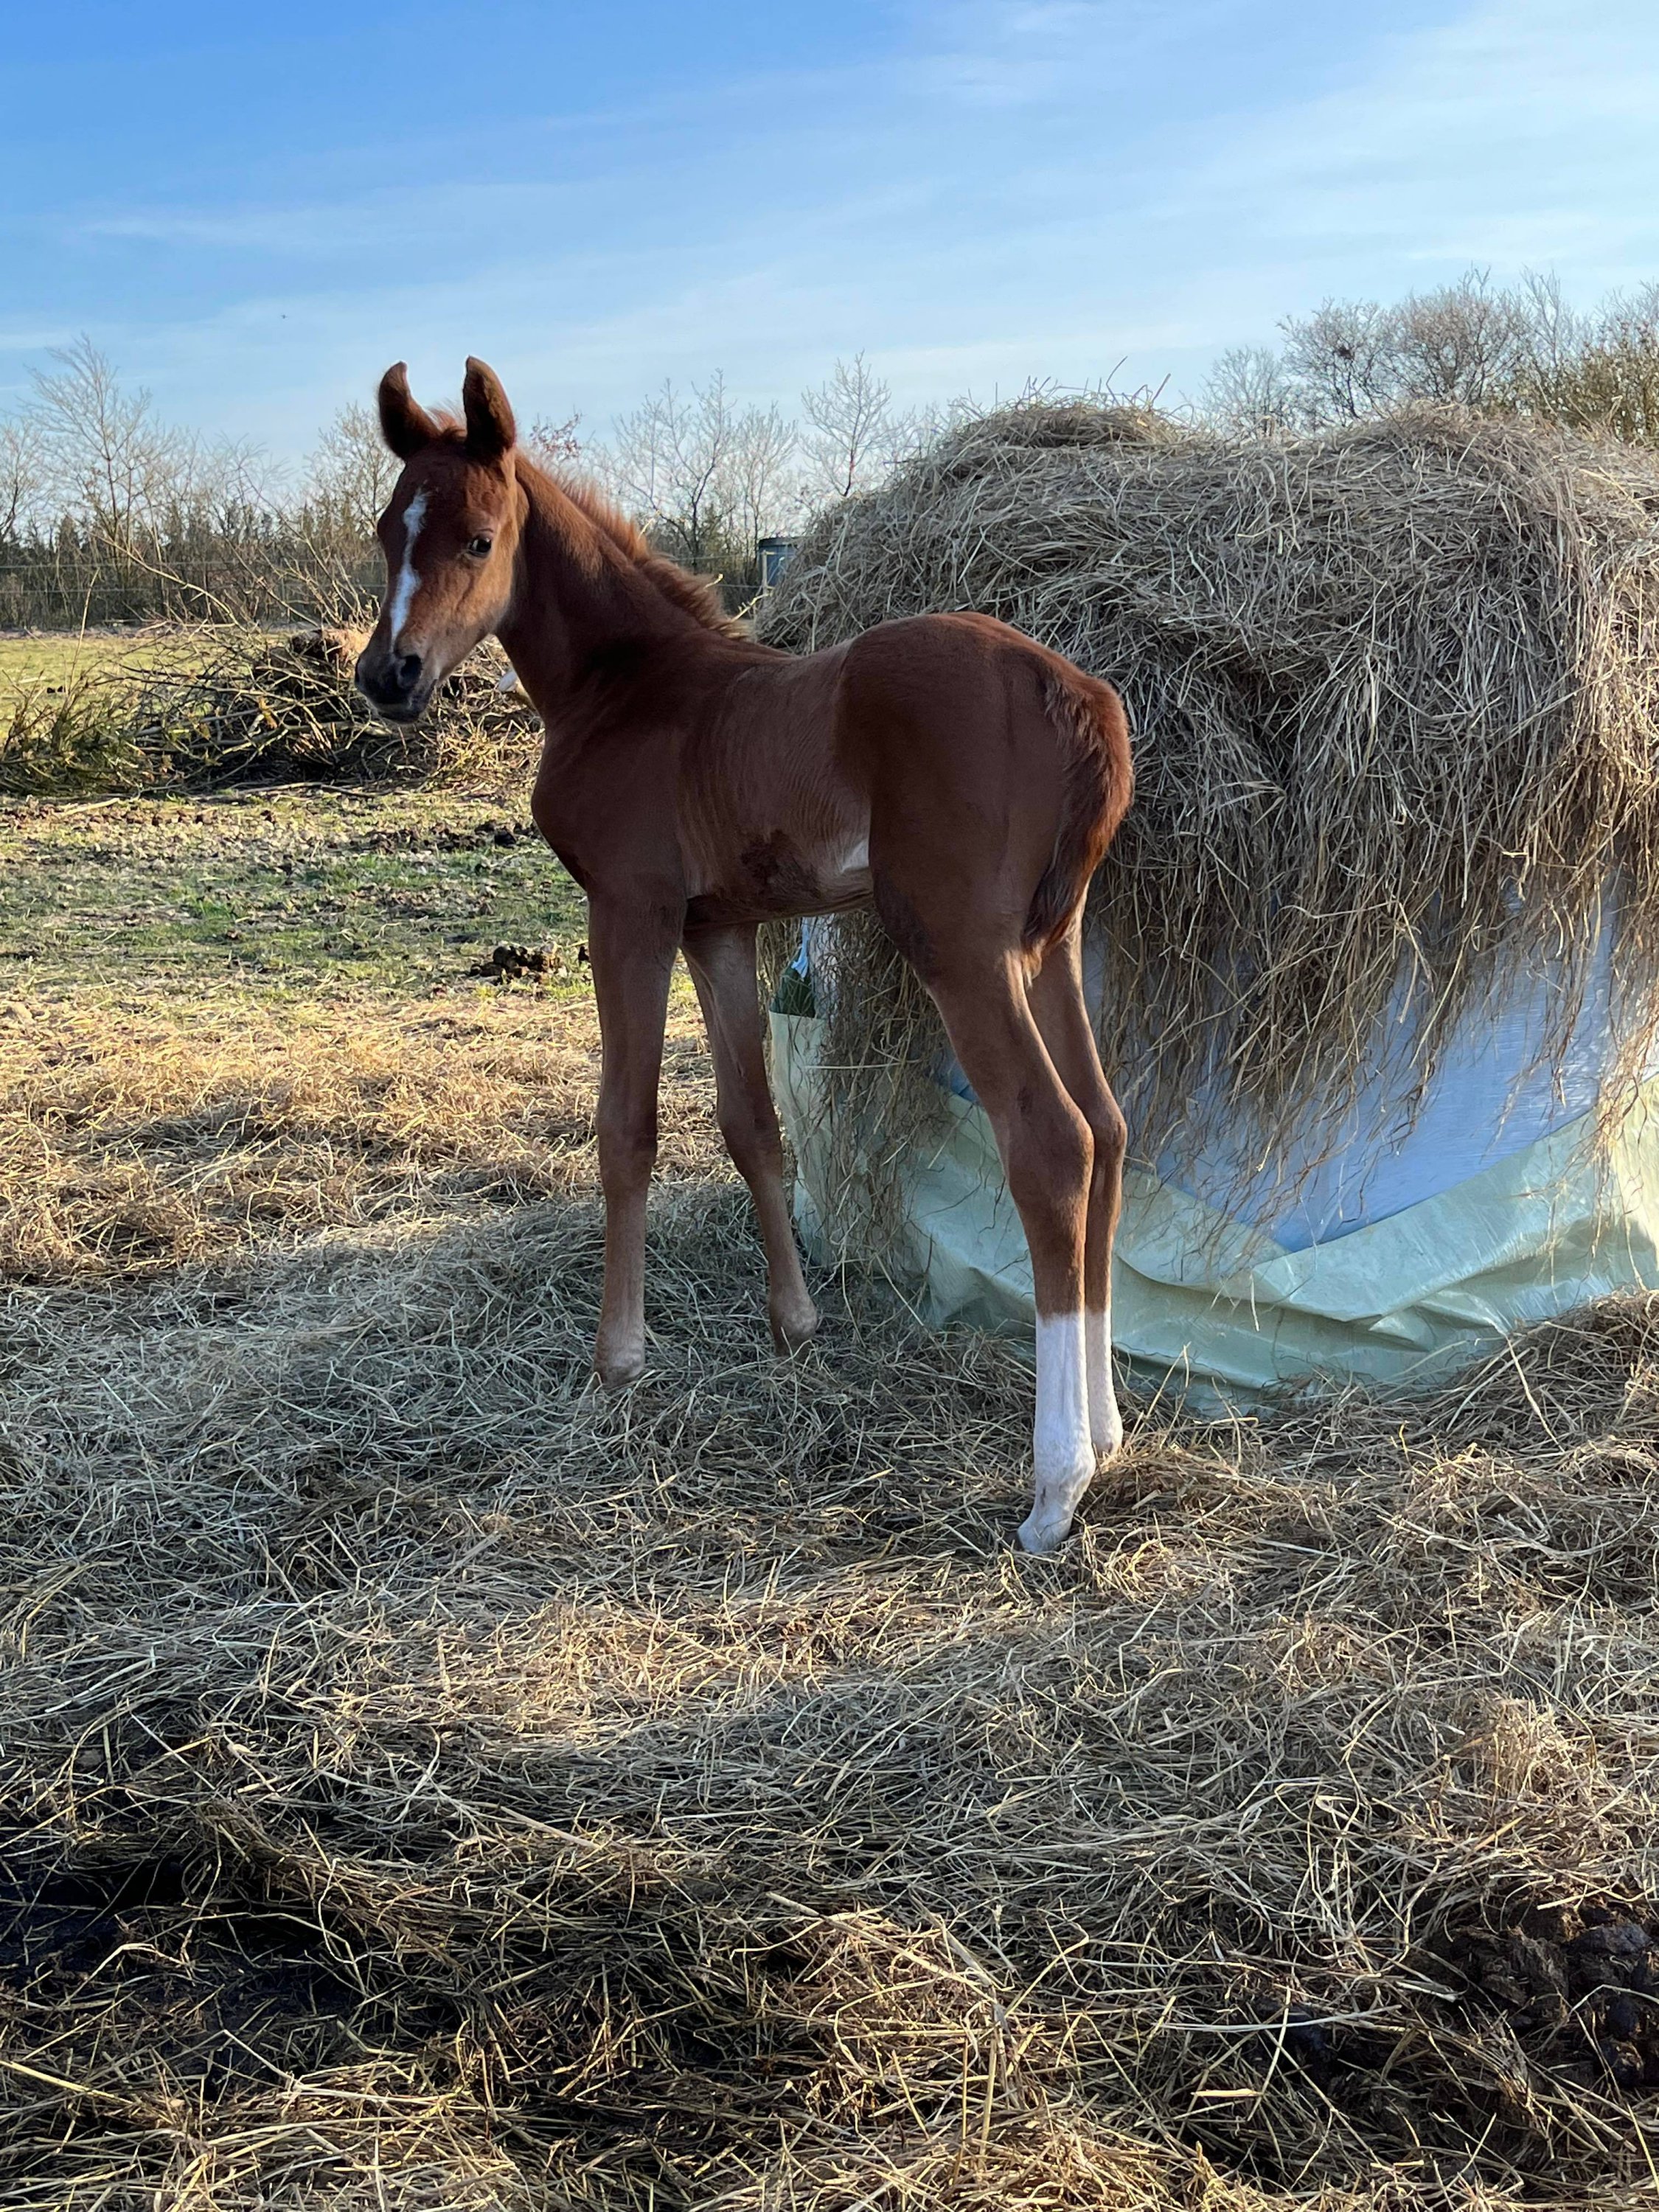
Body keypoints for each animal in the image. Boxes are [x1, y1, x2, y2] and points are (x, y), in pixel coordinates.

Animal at [355, 358, 1133, 1553]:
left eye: (479, 540)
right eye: (386, 531)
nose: (387, 676)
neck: (631, 688)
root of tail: (1071, 690)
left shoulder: (626, 914)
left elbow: (625, 1127)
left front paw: (618, 1359)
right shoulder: (716, 927)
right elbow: (751, 1125)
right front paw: (795, 1322)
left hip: (960, 946)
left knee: (1052, 1146)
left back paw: (1054, 1491)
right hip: (1048, 943)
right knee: (1108, 1128)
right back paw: (1107, 1435)